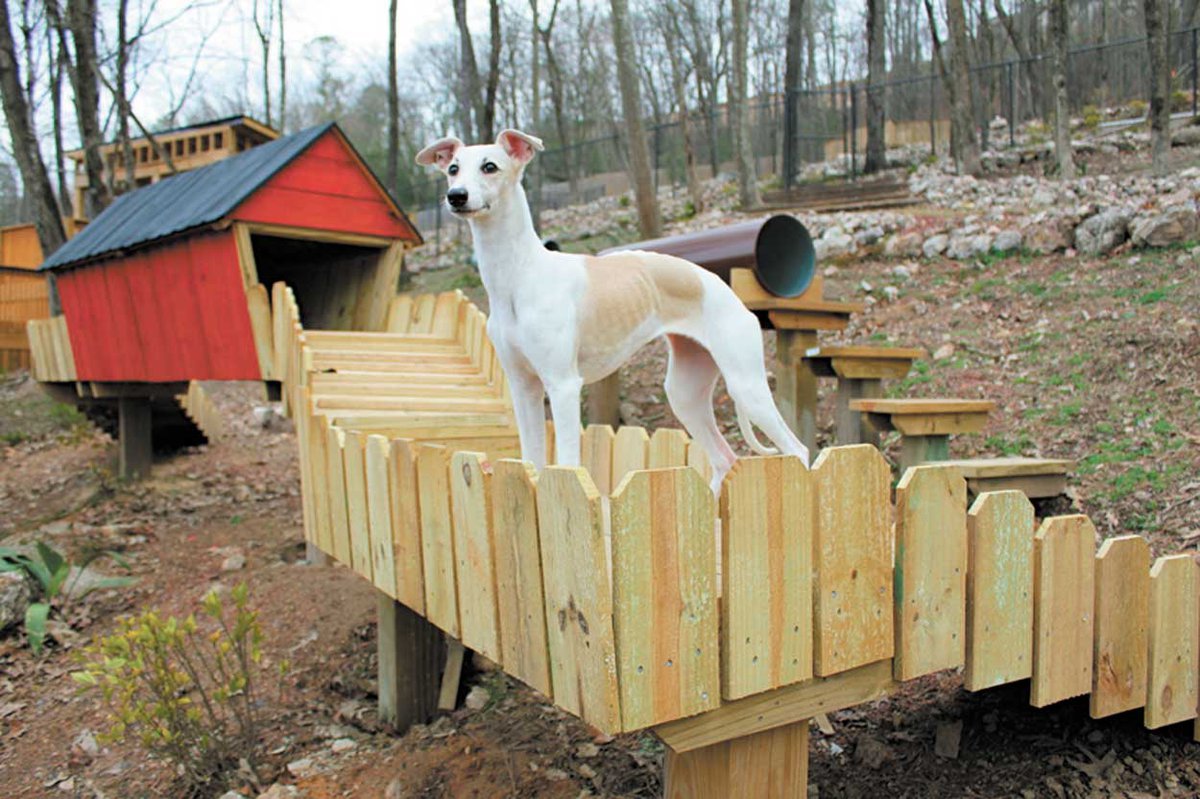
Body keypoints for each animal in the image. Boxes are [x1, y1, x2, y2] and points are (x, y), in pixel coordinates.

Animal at [417, 128, 811, 491]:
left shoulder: (563, 385)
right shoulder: (523, 386)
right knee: (724, 459)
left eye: (490, 166)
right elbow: (532, 462)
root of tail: (727, 291)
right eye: (452, 168)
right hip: (686, 393)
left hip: (746, 384)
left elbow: (568, 464)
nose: (456, 196)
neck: (520, 274)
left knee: (799, 450)